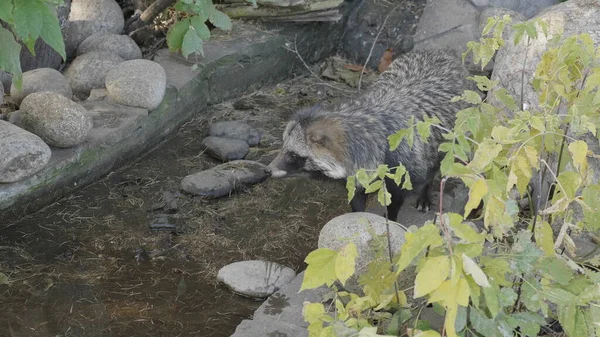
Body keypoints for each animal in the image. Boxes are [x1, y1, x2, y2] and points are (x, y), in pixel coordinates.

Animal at [266, 48, 468, 220]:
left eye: (293, 155)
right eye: (283, 148)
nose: (267, 170)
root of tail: (440, 52)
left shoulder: (402, 168)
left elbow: (395, 202)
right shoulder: (355, 176)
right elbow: (356, 199)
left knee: (435, 164)